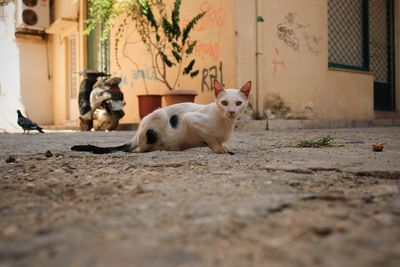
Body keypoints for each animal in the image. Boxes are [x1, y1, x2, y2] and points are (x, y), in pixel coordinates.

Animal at [71, 79, 252, 155]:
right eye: (224, 102)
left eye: (238, 103)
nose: (232, 112)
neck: (225, 123)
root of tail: (136, 135)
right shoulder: (190, 119)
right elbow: (210, 139)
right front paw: (218, 148)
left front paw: (223, 146)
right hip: (157, 117)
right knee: (139, 149)